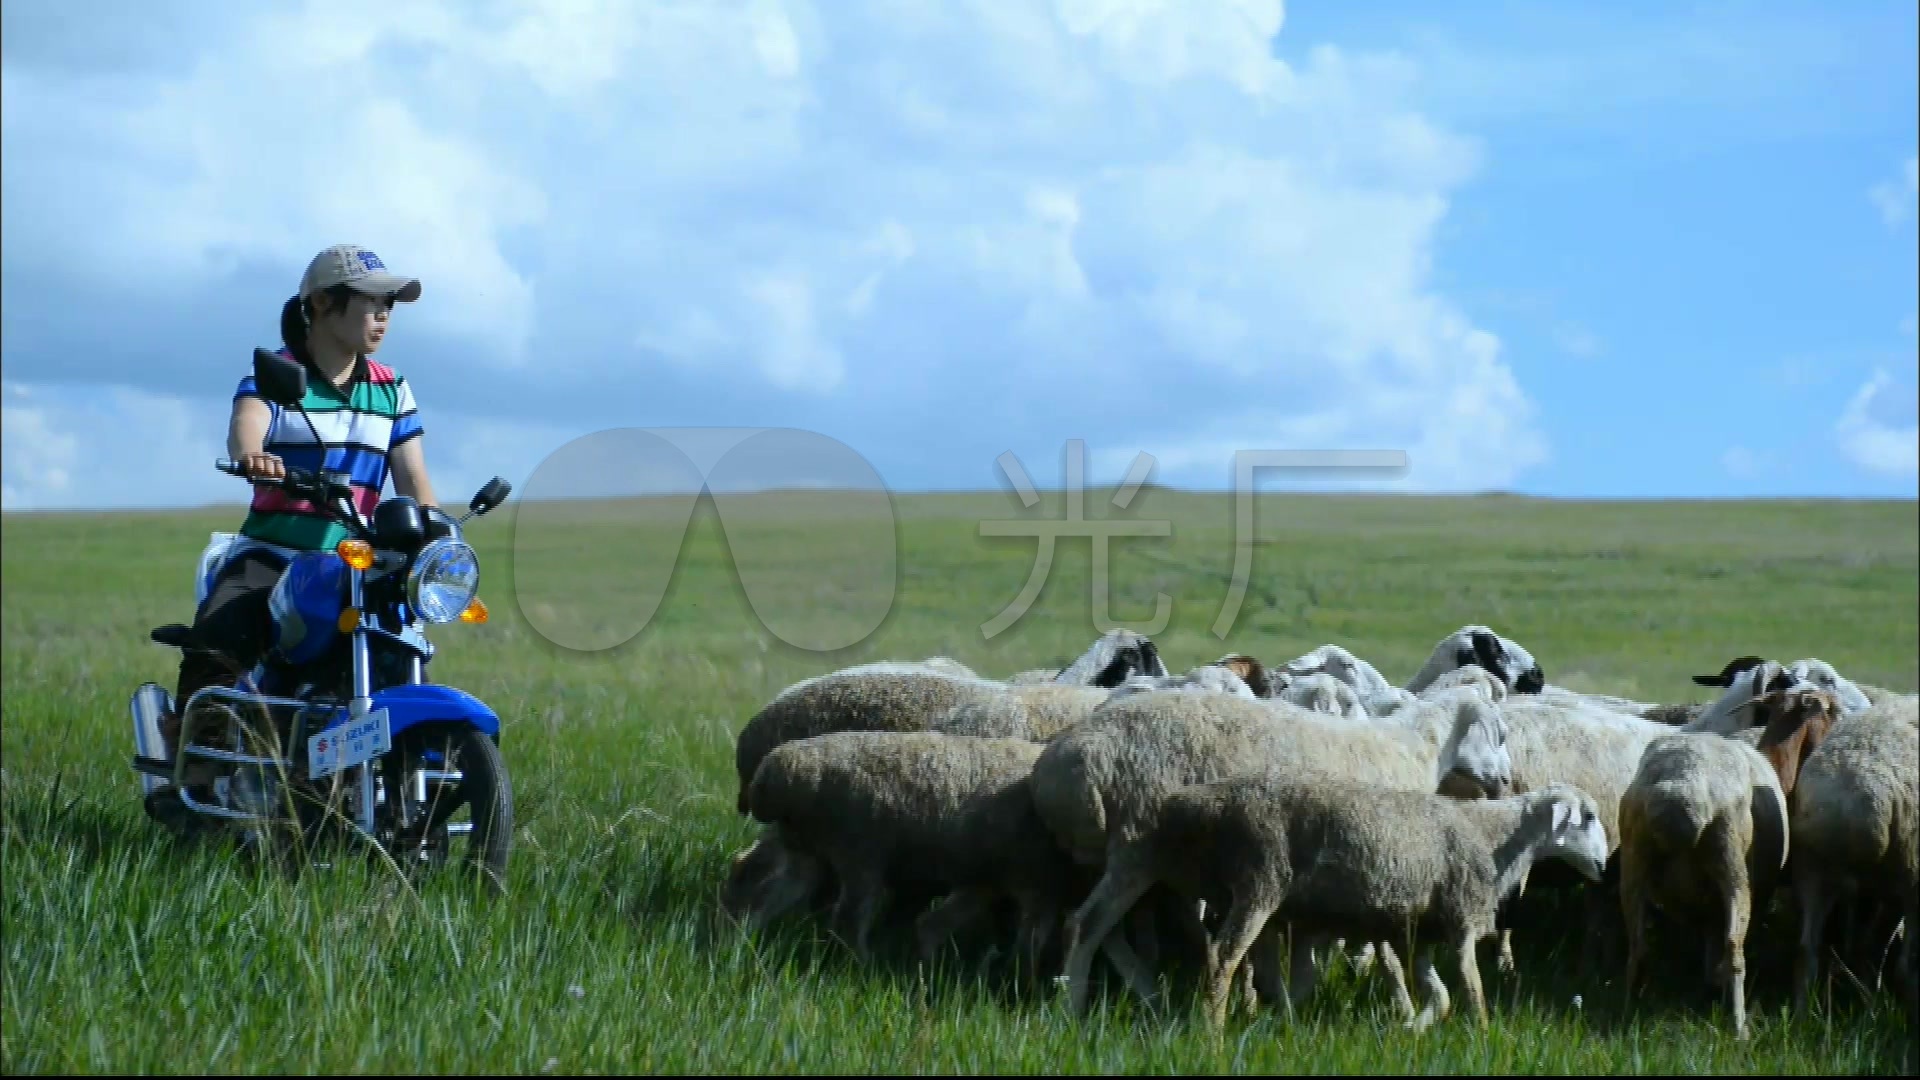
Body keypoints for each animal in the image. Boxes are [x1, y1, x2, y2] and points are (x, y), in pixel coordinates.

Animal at [737, 726, 1075, 972]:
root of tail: (778, 771)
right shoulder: (1040, 882)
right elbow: (1032, 941)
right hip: (859, 852)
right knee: (849, 920)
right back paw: (864, 967)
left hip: (806, 852)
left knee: (767, 897)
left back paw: (744, 942)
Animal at [1052, 764, 1605, 1022]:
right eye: (1588, 816)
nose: (1603, 866)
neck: (1493, 837)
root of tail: (1206, 800)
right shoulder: (1460, 920)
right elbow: (1473, 991)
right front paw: (1484, 1037)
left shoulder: (1422, 932)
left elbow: (1442, 995)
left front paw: (1413, 1028)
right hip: (1259, 877)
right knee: (1223, 956)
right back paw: (1211, 1031)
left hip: (1147, 862)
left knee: (1088, 924)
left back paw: (1072, 1004)